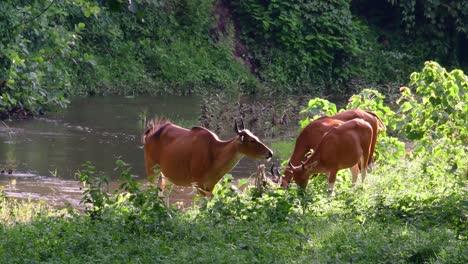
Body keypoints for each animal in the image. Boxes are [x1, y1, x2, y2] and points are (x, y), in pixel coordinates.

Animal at [144, 117, 274, 196]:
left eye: (256, 137)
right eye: (252, 140)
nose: (270, 153)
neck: (214, 154)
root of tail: (150, 132)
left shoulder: (210, 186)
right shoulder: (198, 184)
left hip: (164, 174)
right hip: (151, 170)